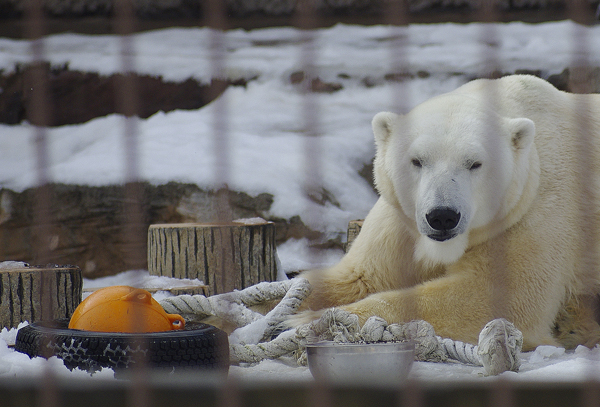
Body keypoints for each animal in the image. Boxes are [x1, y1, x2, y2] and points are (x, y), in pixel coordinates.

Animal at [300, 75, 600, 350]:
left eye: (475, 163)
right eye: (417, 161)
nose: (442, 216)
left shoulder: (532, 209)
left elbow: (498, 295)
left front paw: (313, 321)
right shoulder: (400, 224)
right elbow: (360, 276)